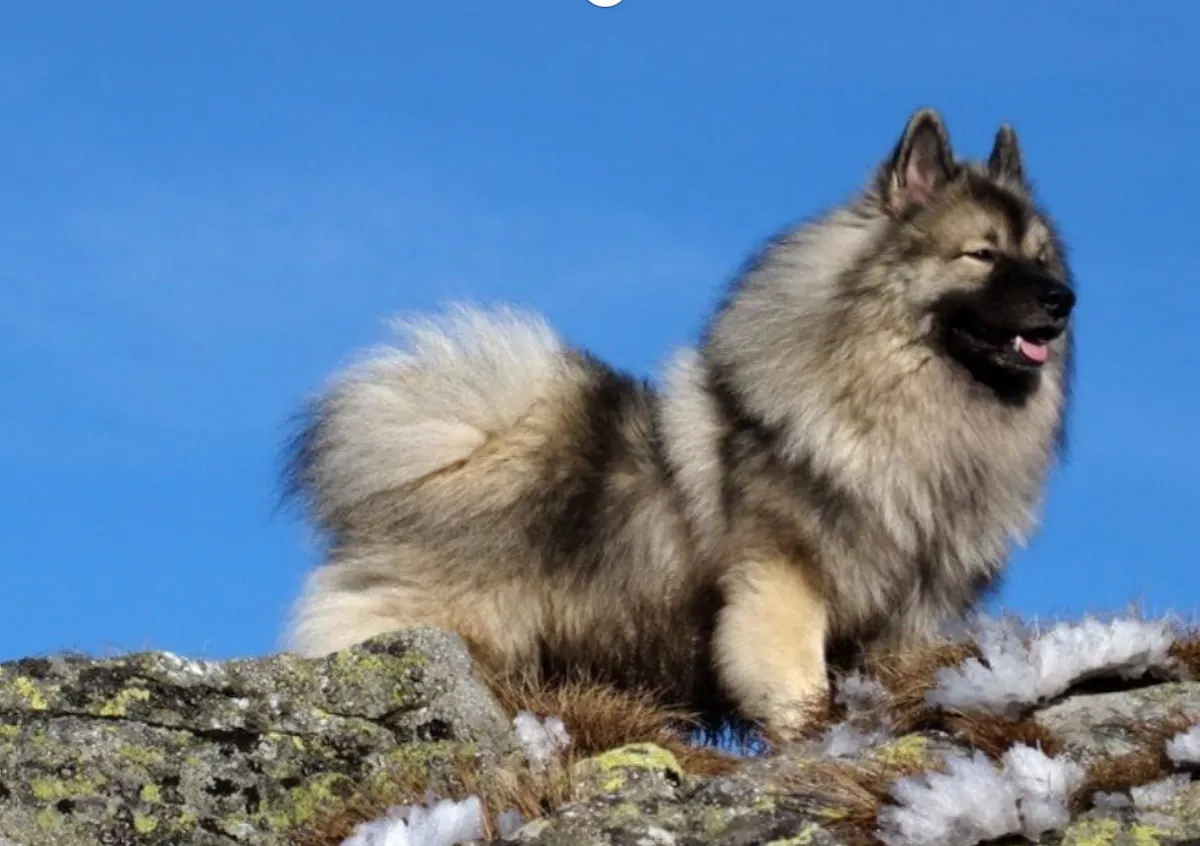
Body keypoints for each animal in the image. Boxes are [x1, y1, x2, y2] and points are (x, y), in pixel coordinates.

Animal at [282, 108, 1076, 738]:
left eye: (1040, 257)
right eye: (982, 254)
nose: (1063, 299)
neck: (889, 398)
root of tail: (457, 449)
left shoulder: (905, 619)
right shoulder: (781, 587)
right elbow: (795, 684)